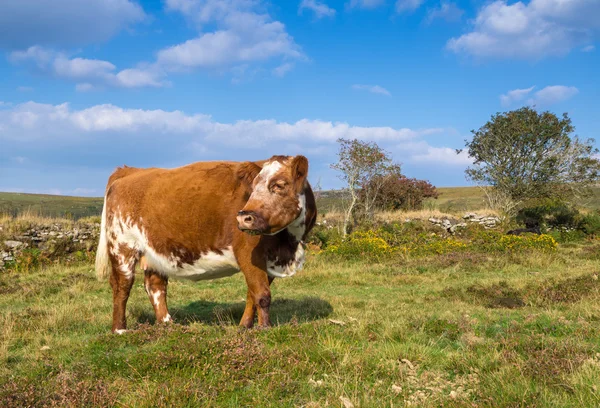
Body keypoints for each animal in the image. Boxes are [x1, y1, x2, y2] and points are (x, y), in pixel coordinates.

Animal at [94, 155, 316, 334]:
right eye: (253, 187)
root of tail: (131, 170)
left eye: (279, 185)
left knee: (155, 286)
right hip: (122, 246)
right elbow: (262, 295)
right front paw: (264, 329)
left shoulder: (269, 261)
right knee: (122, 285)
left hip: (156, 251)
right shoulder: (248, 253)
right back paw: (120, 329)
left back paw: (167, 324)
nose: (245, 218)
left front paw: (245, 326)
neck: (288, 244)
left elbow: (252, 295)